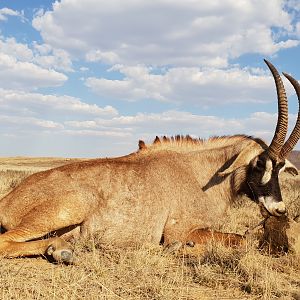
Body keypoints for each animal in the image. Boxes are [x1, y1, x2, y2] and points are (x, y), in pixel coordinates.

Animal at [0, 60, 298, 262]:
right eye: (260, 163)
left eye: (281, 168)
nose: (279, 210)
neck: (202, 175)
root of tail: (8, 200)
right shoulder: (179, 231)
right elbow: (241, 240)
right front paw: (185, 249)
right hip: (69, 208)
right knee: (5, 242)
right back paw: (62, 251)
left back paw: (60, 248)